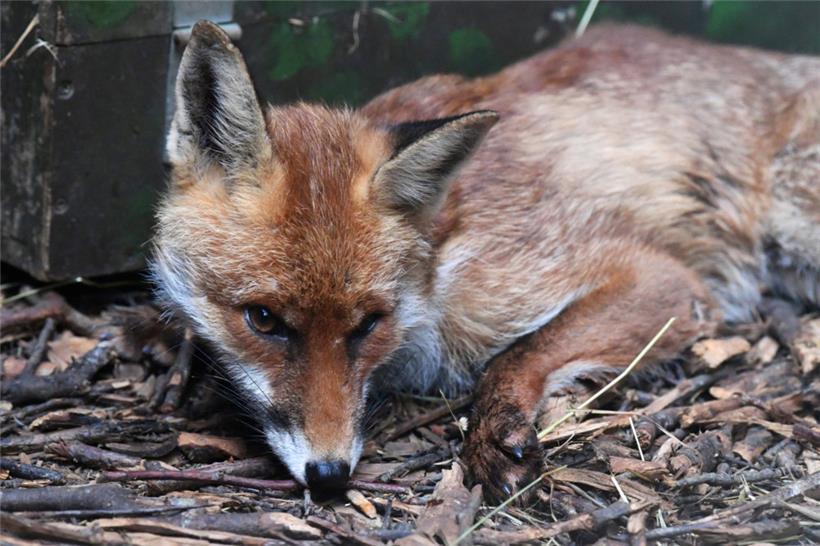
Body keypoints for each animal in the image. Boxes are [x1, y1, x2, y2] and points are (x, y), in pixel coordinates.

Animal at [152, 20, 819, 501]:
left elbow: (517, 354)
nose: (330, 475)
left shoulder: (661, 280)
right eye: (263, 319)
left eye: (368, 324)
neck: (438, 268)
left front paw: (496, 430)